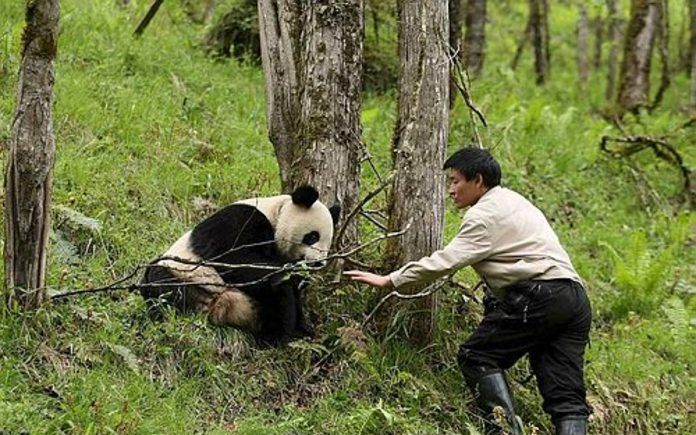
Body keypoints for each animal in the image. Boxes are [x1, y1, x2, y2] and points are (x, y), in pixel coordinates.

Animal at [140, 186, 342, 348]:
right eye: (312, 237)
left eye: (328, 243)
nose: (319, 262)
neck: (276, 213)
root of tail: (217, 307)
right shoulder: (240, 218)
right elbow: (232, 257)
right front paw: (291, 273)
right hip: (183, 273)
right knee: (161, 286)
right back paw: (277, 337)